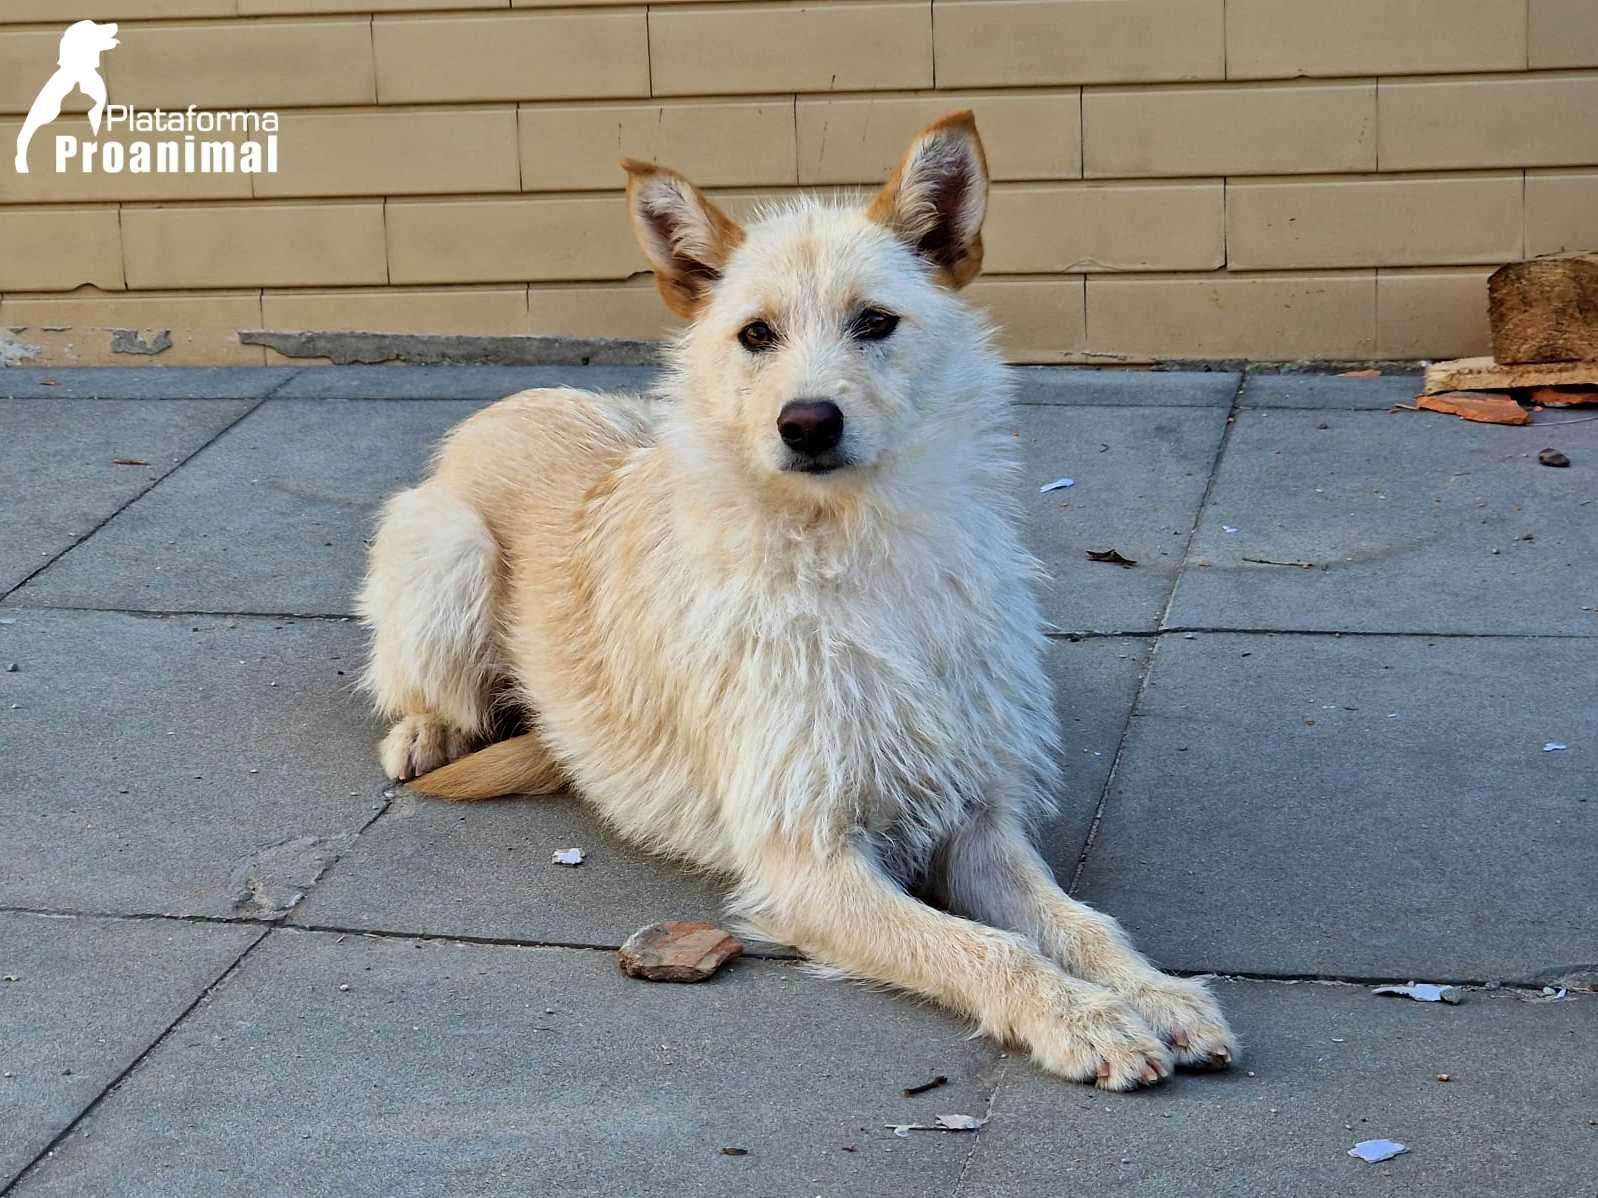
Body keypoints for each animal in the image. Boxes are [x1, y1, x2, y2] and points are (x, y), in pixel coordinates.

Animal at [362, 115, 1233, 1098]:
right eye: (756, 333)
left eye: (875, 322)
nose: (807, 422)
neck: (855, 553)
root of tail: (509, 399)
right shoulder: (807, 862)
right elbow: (991, 950)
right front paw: (1081, 1018)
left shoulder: (975, 820)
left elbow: (1076, 922)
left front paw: (1157, 994)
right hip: (448, 550)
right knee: (423, 682)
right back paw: (426, 730)